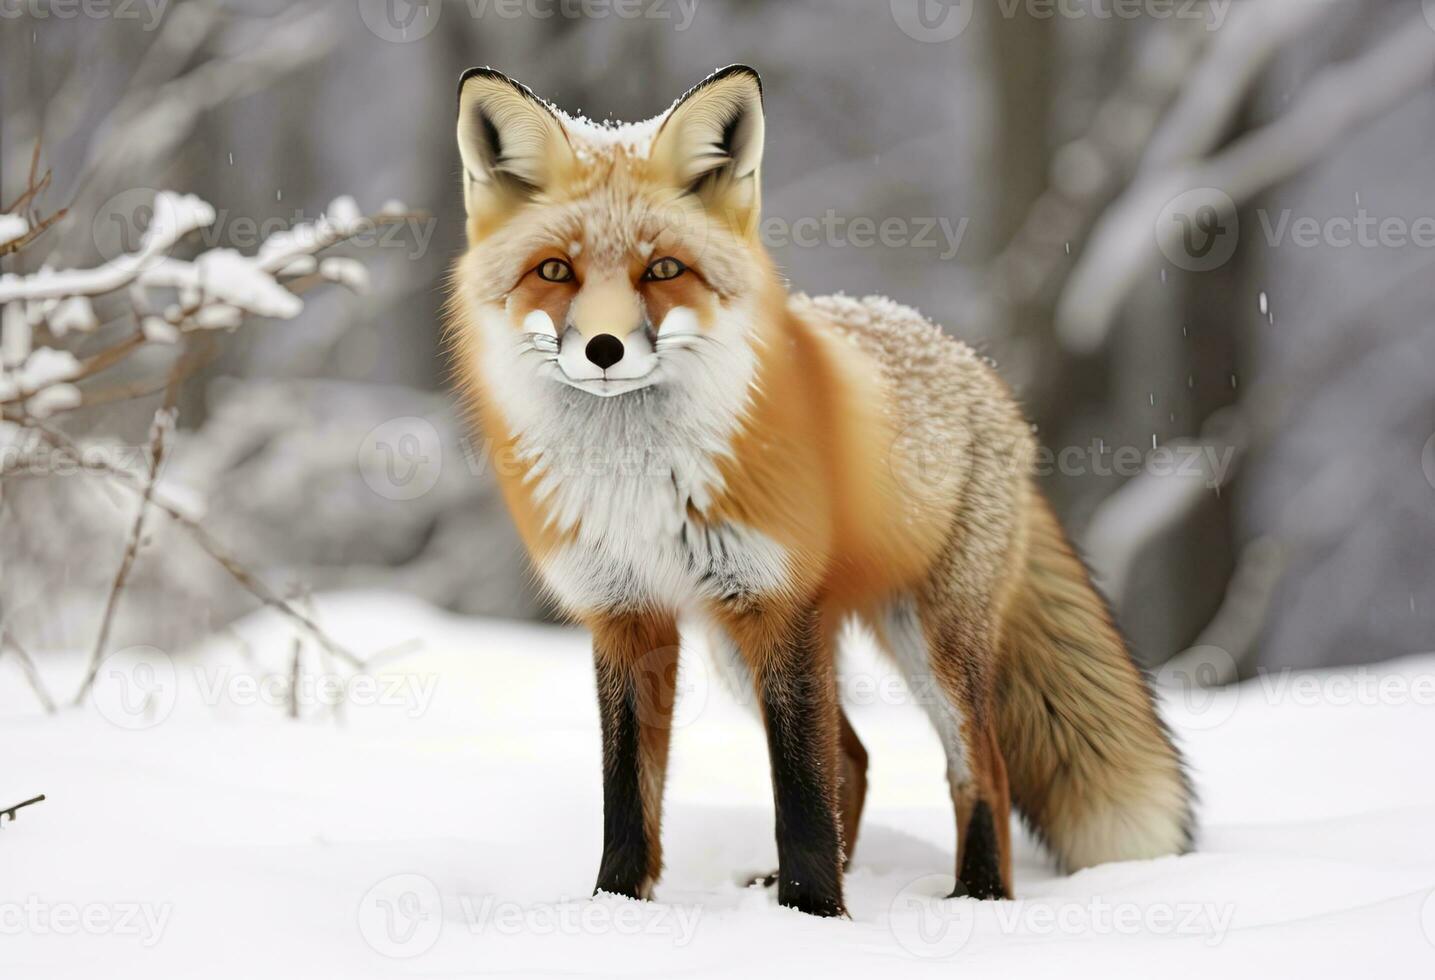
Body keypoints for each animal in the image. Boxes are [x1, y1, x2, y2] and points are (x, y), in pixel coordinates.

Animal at [441, 65, 1193, 918]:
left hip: (926, 639)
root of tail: (975, 367)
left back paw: (976, 898)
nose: (603, 349)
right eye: (554, 271)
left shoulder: (780, 604)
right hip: (740, 648)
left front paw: (813, 917)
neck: (639, 481)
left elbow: (800, 796)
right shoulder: (625, 615)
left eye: (662, 269)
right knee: (858, 760)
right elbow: (628, 798)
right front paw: (616, 909)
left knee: (977, 768)